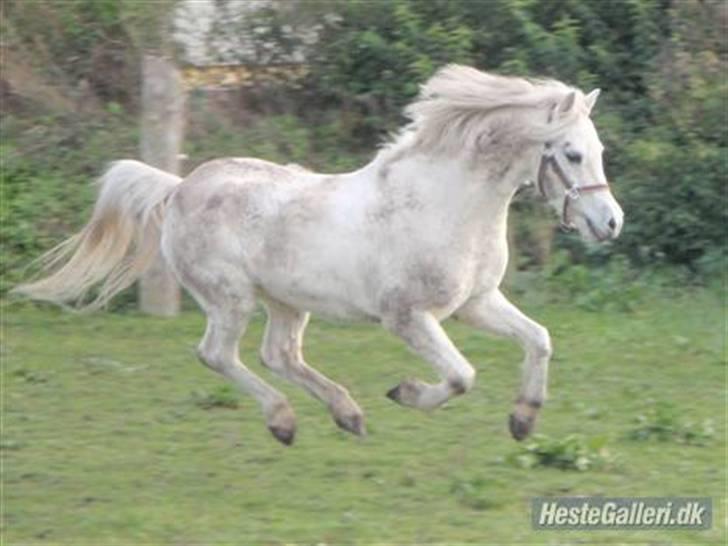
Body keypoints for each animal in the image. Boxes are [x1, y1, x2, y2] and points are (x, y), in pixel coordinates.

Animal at [14, 65, 624, 445]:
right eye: (571, 154)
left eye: (598, 150)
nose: (611, 223)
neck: (447, 204)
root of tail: (181, 186)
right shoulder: (409, 317)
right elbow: (460, 377)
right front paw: (405, 392)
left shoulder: (476, 302)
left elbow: (539, 340)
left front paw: (523, 421)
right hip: (230, 299)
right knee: (218, 355)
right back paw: (285, 422)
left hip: (286, 301)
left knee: (279, 355)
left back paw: (347, 414)